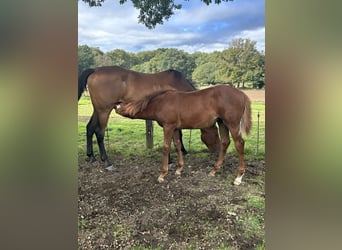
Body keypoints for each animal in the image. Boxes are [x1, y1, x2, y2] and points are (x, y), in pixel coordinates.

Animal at [77, 66, 219, 170]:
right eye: (216, 133)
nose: (217, 151)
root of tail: (95, 70)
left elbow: (178, 135)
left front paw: (182, 151)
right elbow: (175, 136)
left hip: (98, 110)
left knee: (89, 128)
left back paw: (91, 157)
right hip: (104, 110)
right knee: (99, 132)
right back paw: (107, 162)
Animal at [115, 85, 251, 185]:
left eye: (124, 104)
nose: (115, 105)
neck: (160, 102)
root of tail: (241, 94)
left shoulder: (168, 127)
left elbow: (166, 147)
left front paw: (162, 174)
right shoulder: (175, 128)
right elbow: (177, 145)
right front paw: (179, 169)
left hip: (232, 124)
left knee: (239, 143)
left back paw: (238, 177)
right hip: (222, 123)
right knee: (225, 142)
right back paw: (214, 170)